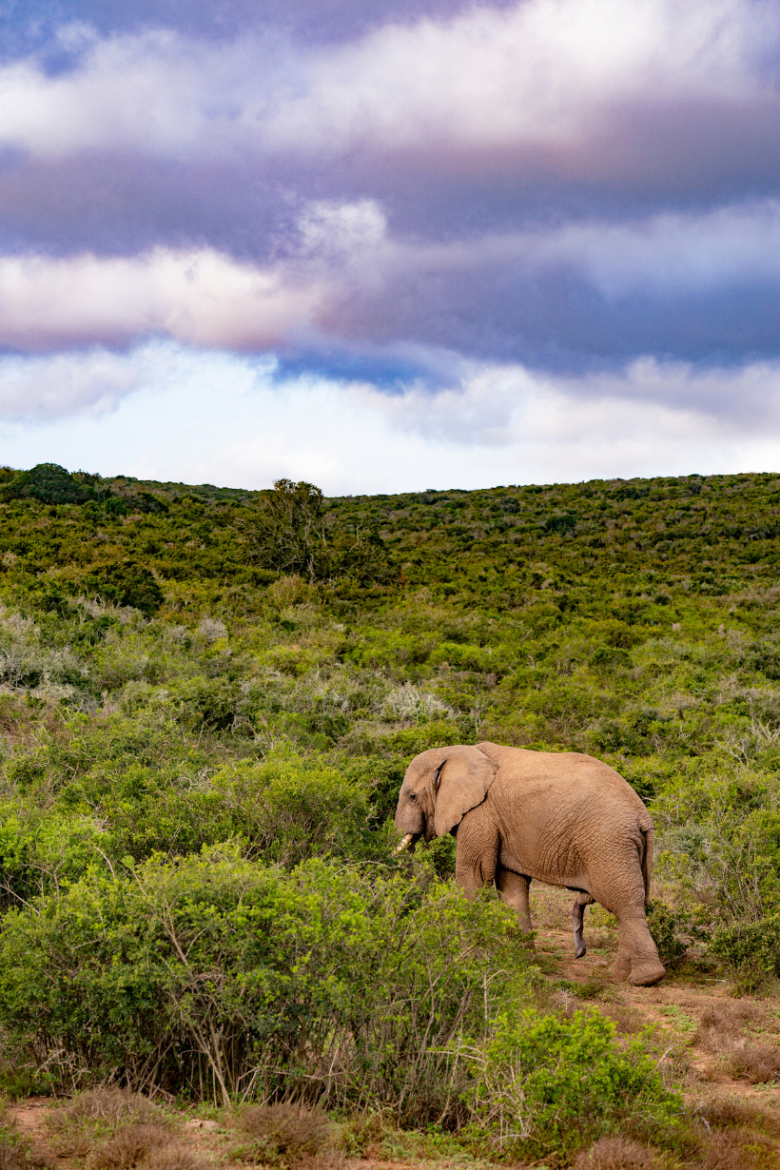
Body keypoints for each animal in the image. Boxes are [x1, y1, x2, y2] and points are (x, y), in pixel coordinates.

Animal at [397, 739, 664, 987]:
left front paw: (468, 960)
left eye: (413, 796)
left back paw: (643, 979)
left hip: (608, 843)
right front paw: (521, 962)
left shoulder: (480, 812)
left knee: (623, 903)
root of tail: (643, 814)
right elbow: (512, 888)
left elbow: (475, 876)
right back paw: (621, 975)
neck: (454, 752)